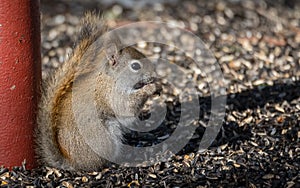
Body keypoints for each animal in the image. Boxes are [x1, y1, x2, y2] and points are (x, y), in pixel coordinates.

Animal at [35, 12, 162, 172]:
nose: (154, 75)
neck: (111, 78)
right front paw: (150, 88)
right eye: (135, 66)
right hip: (105, 138)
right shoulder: (111, 94)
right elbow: (126, 107)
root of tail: (74, 164)